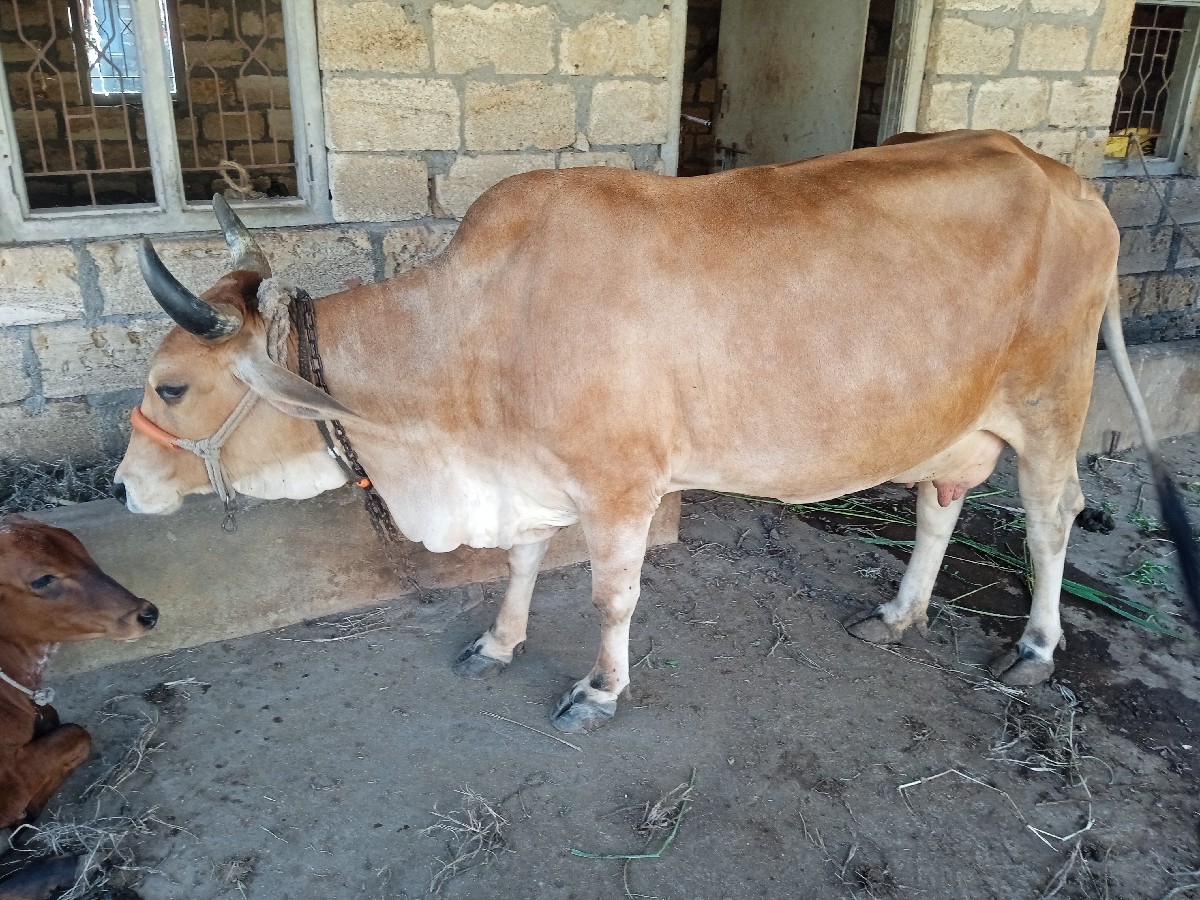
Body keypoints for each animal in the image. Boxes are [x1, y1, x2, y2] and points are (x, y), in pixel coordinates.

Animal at [113, 129, 1200, 734]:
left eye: (171, 386)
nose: (125, 486)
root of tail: (1063, 174)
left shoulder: (621, 487)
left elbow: (610, 597)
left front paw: (598, 691)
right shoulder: (530, 478)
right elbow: (520, 564)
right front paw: (498, 644)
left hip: (1051, 402)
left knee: (1054, 517)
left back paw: (1037, 648)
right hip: (952, 419)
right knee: (940, 501)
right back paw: (898, 614)